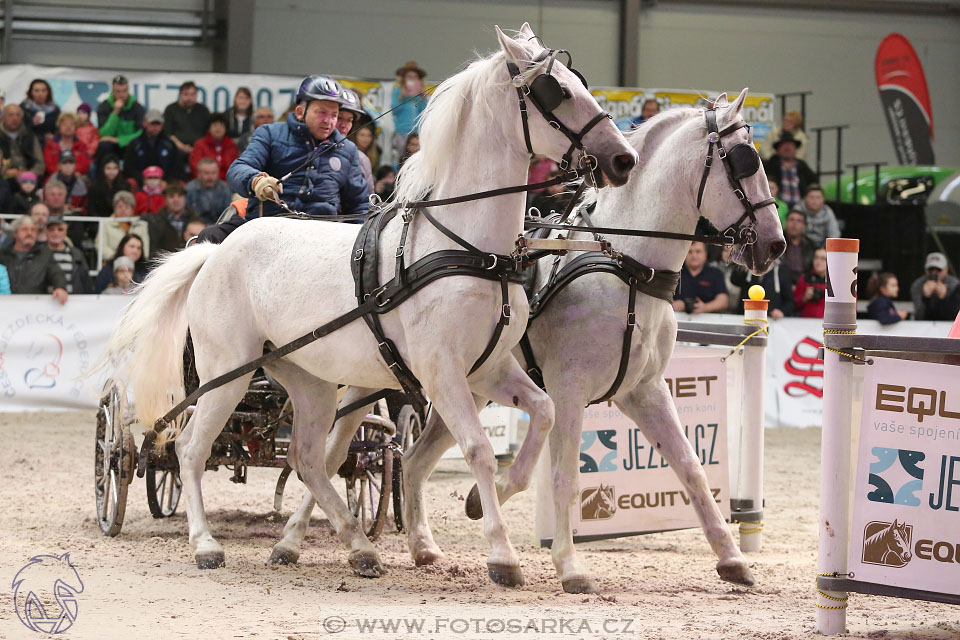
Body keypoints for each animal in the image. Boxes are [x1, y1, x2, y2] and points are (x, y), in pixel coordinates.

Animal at [97, 23, 636, 584]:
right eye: (557, 91)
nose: (623, 159)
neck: (468, 247)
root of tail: (214, 253)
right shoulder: (440, 370)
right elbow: (479, 450)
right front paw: (502, 555)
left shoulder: (487, 368)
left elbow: (543, 413)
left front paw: (486, 501)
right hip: (227, 372)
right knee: (190, 449)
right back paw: (205, 544)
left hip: (307, 380)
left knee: (309, 459)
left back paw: (356, 547)